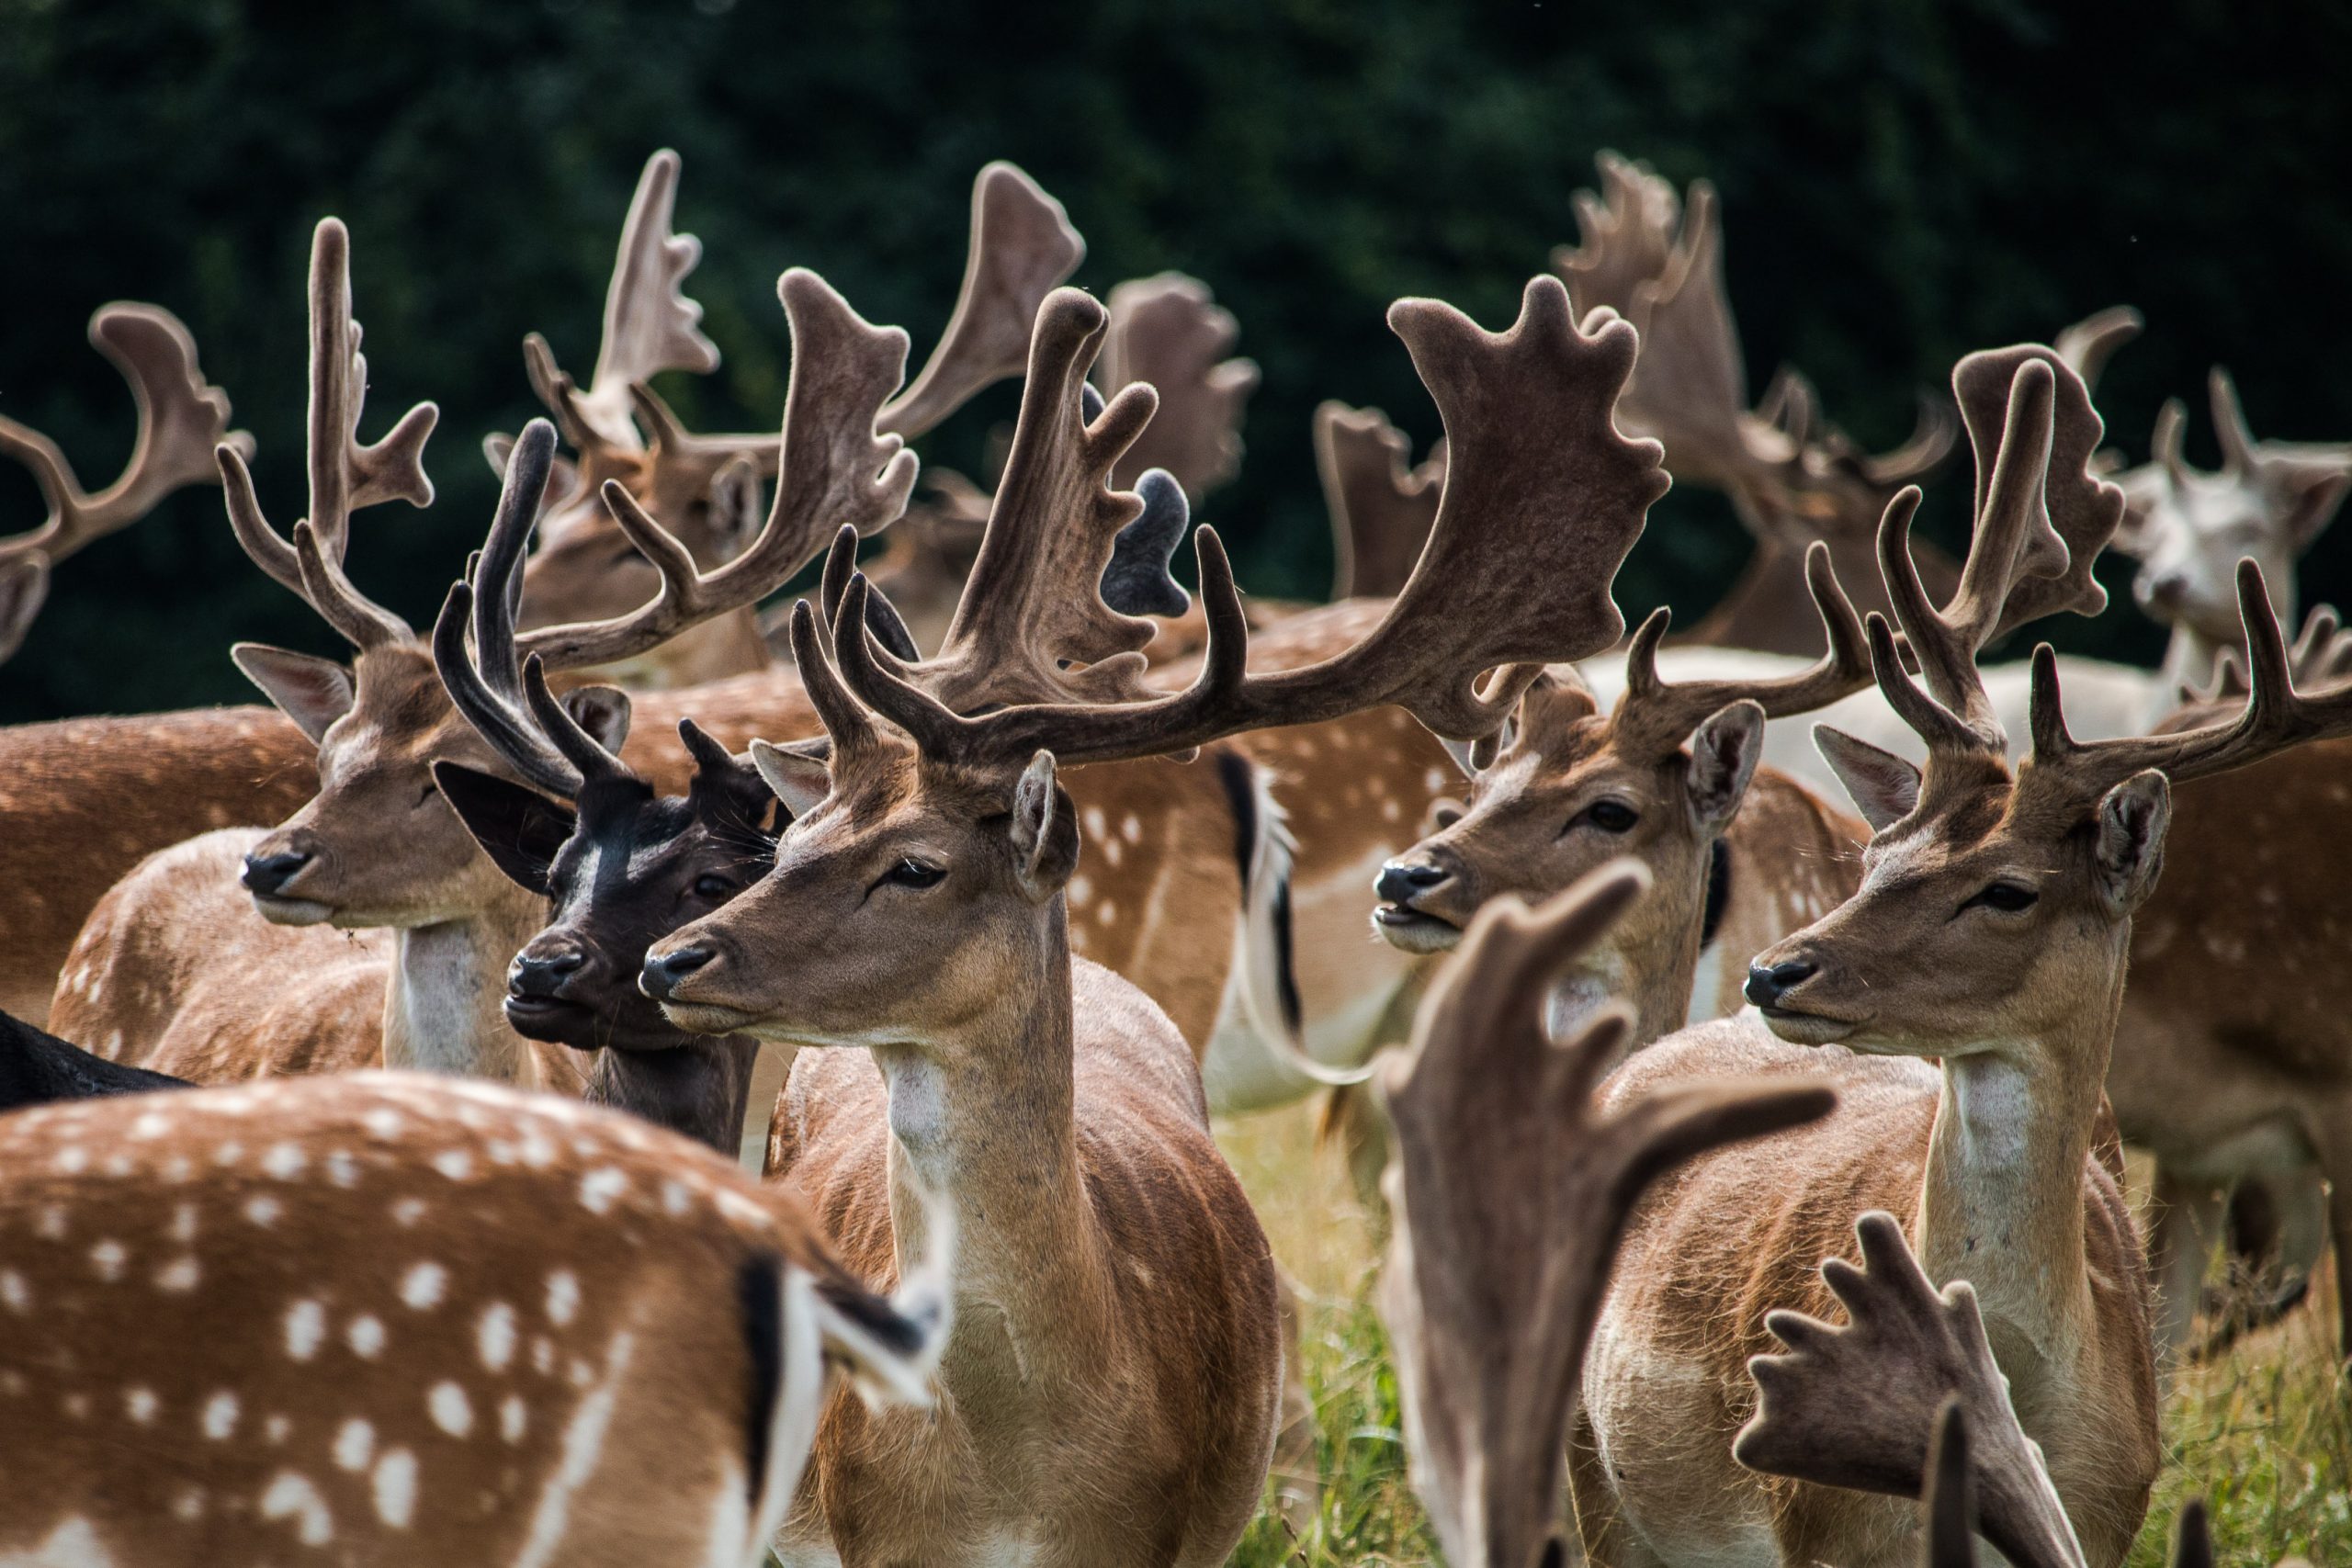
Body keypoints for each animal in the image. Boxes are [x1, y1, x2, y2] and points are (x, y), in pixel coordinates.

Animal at [1561, 345, 2220, 1568]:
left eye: (2007, 888)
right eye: (1880, 851)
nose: (1775, 972)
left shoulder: (2113, 1509)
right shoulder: (1817, 1523)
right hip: (1598, 1471)